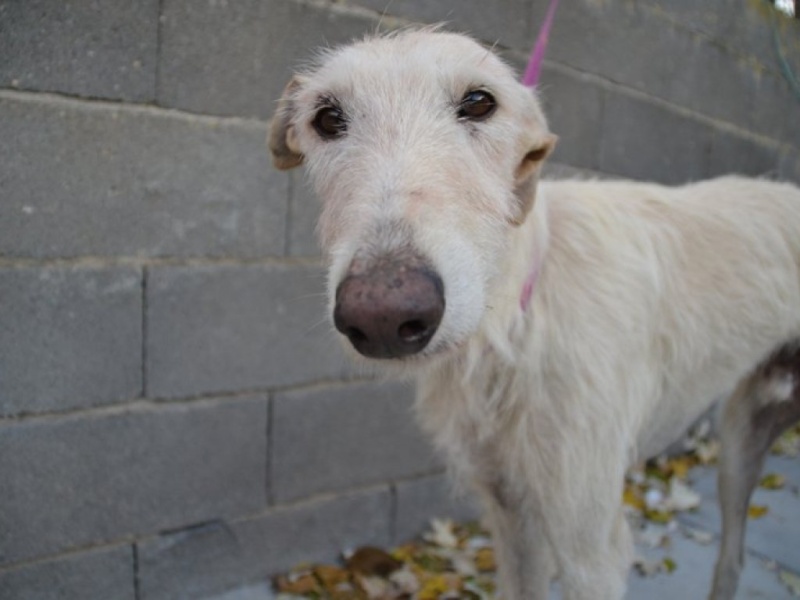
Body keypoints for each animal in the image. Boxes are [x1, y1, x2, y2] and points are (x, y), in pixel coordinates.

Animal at [268, 29, 800, 600]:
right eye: (327, 117)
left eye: (480, 101)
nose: (384, 315)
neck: (513, 324)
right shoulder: (511, 511)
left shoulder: (591, 544)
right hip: (745, 435)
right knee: (733, 559)